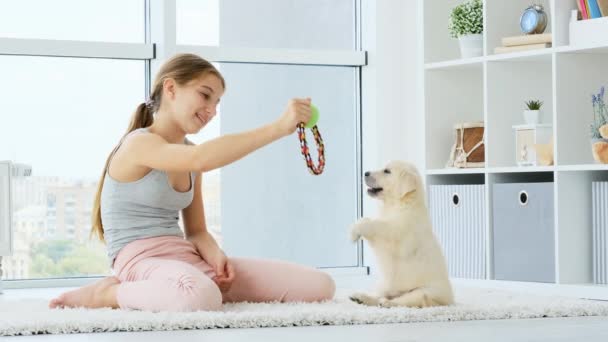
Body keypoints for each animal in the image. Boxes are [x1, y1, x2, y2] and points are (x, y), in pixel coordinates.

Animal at [350, 160, 454, 308]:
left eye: (387, 171)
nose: (365, 173)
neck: (401, 205)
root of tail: (451, 301)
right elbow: (368, 220)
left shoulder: (397, 234)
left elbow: (377, 225)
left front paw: (354, 232)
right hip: (383, 284)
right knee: (380, 295)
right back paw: (361, 297)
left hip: (424, 292)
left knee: (403, 301)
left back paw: (385, 303)